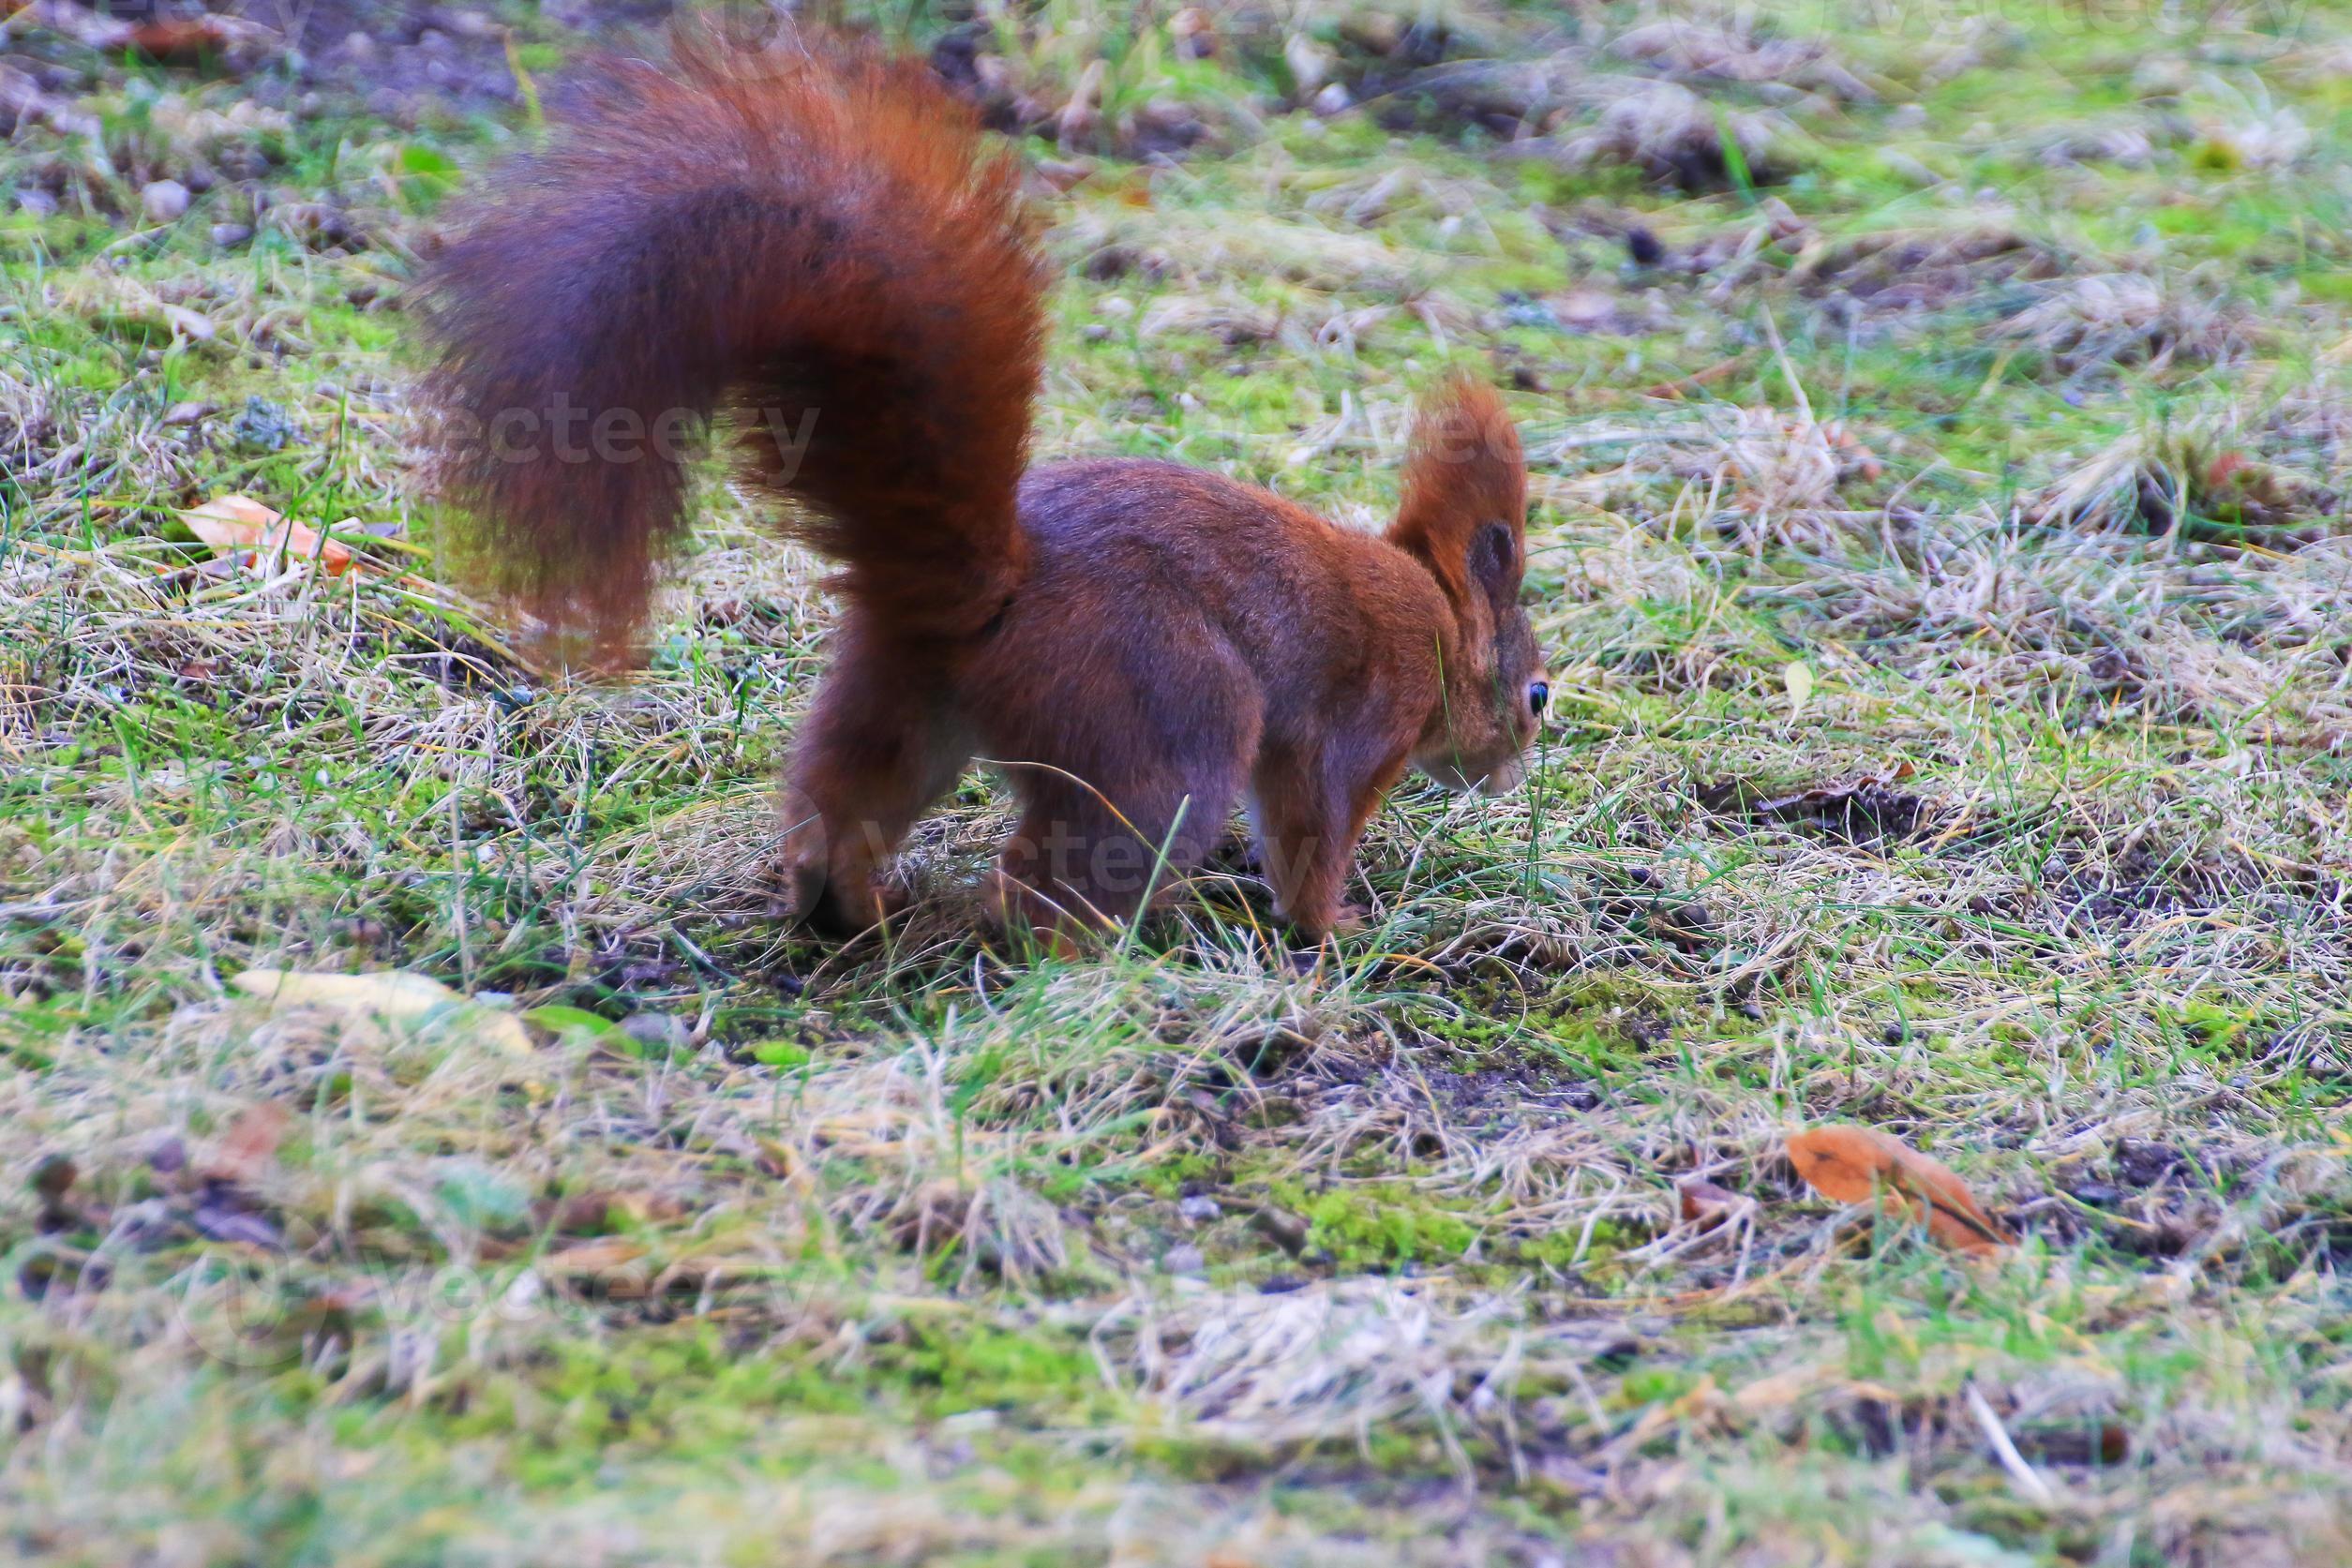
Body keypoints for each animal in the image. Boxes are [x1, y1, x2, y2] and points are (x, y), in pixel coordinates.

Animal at [421, 34, 1551, 945]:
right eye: (1536, 693)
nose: (1511, 776)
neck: (1435, 614)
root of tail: (993, 586)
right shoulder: (1355, 726)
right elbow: (1314, 830)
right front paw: (1338, 926)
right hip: (1163, 728)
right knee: (1058, 878)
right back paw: (1075, 955)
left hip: (900, 693)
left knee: (845, 796)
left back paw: (848, 906)